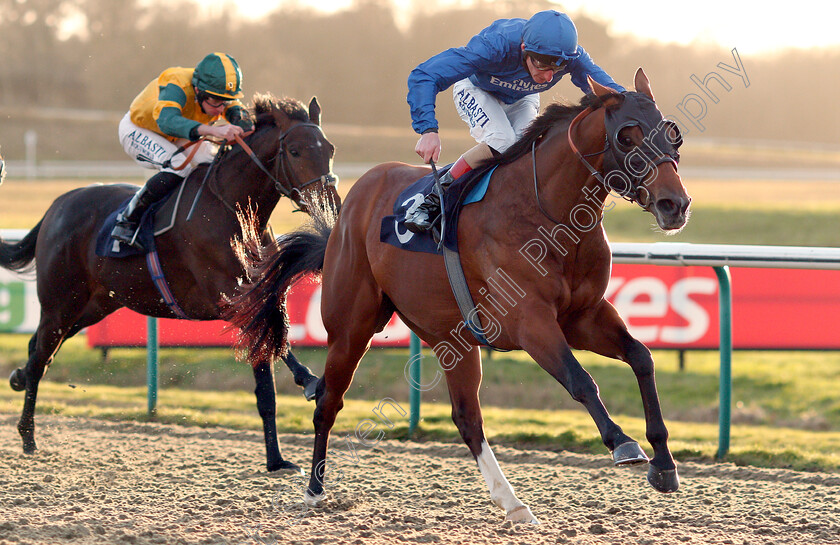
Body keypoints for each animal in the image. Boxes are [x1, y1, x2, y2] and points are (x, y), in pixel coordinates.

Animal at [1, 93, 342, 472]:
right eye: (295, 151)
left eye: (329, 148)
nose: (331, 204)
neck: (232, 209)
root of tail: (57, 205)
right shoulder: (232, 300)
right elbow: (268, 375)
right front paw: (298, 409)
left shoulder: (264, 296)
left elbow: (277, 350)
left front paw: (281, 449)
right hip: (61, 302)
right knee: (40, 357)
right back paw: (28, 435)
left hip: (93, 306)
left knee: (37, 350)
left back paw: (17, 380)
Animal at [225, 70, 688, 520]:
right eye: (627, 135)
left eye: (671, 133)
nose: (675, 204)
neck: (549, 212)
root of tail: (350, 206)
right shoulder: (530, 320)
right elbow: (581, 380)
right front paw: (623, 443)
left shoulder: (584, 316)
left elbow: (641, 358)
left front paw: (664, 463)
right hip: (351, 328)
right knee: (328, 401)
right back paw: (314, 492)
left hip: (454, 338)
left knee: (467, 416)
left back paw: (512, 502)